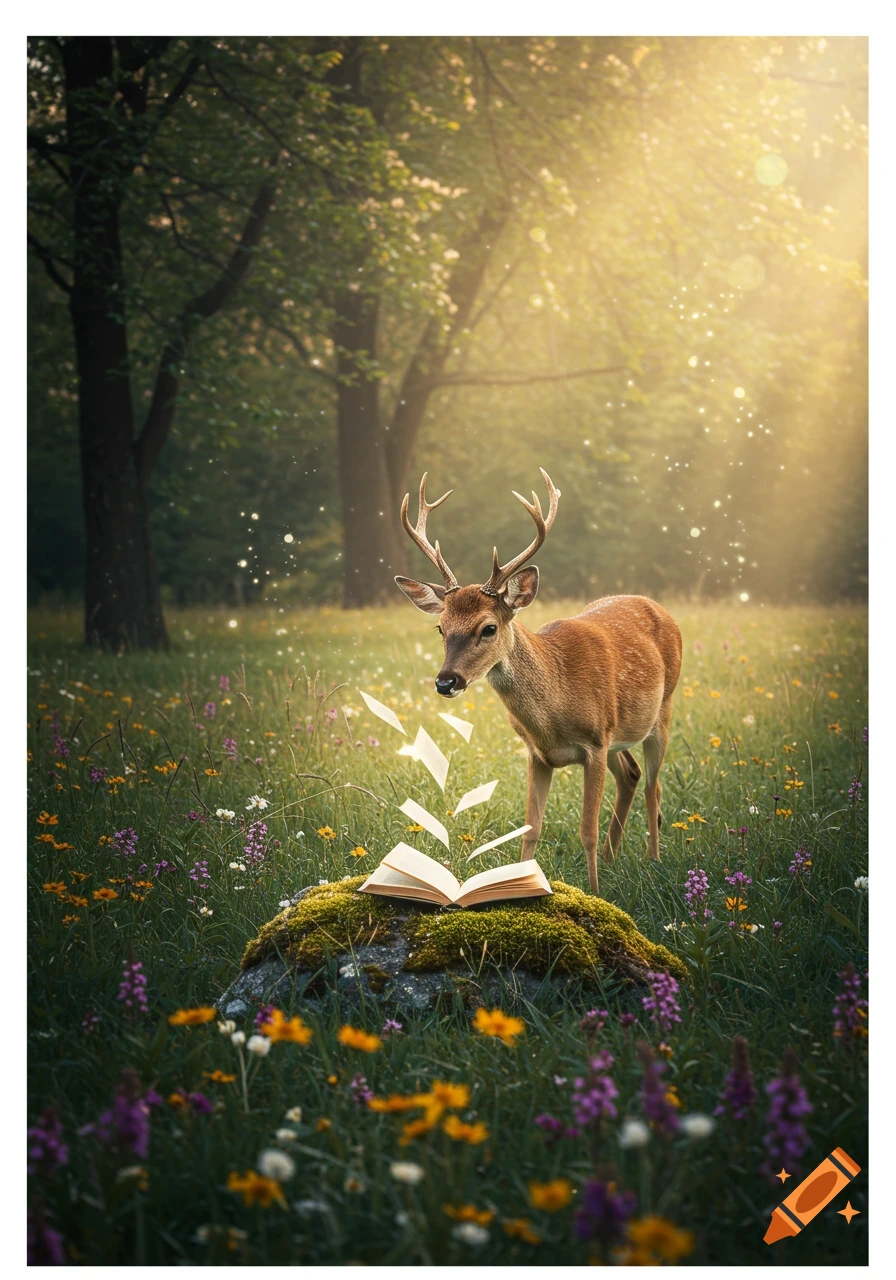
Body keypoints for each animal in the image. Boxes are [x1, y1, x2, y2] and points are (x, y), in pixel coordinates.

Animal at [394, 469, 682, 895]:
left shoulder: (595, 742)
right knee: (631, 775)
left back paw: (653, 861)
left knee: (653, 785)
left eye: (488, 628)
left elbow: (586, 830)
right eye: (440, 627)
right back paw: (613, 859)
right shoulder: (538, 753)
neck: (554, 708)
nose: (446, 682)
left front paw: (595, 893)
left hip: (662, 710)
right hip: (620, 735)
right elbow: (530, 830)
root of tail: (659, 607)